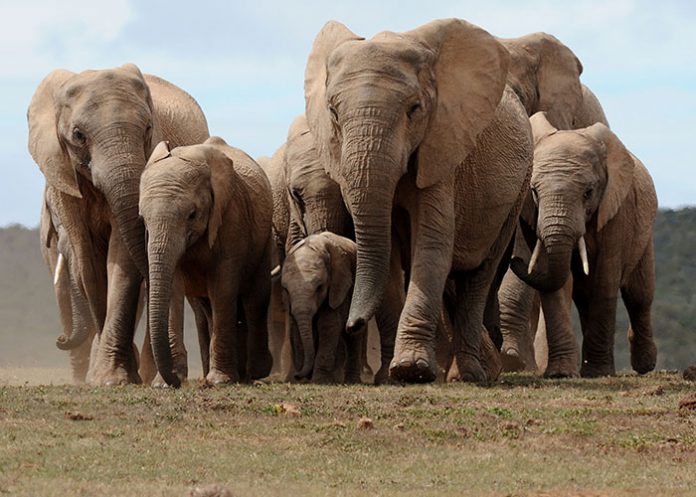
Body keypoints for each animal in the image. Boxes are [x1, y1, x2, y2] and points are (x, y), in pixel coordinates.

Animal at [27, 64, 209, 385]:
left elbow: (121, 257)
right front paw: (107, 376)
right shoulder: (63, 179)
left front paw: (113, 377)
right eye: (78, 135)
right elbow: (88, 263)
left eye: (148, 129)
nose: (60, 339)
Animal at [139, 137, 274, 387]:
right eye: (142, 219)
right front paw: (163, 384)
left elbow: (223, 287)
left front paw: (220, 381)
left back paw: (254, 373)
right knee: (208, 307)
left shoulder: (232, 217)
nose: (177, 381)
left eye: (192, 214)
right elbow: (173, 287)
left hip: (264, 241)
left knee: (256, 299)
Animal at [304, 19, 533, 383]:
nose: (353, 325)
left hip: (518, 188)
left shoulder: (441, 149)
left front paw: (411, 370)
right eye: (333, 114)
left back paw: (469, 375)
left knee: (479, 275)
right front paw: (391, 377)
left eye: (414, 110)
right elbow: (389, 255)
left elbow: (432, 244)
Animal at [509, 112, 657, 377]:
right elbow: (556, 282)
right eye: (534, 191)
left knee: (639, 294)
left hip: (644, 231)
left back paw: (645, 366)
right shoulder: (532, 215)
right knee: (585, 295)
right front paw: (560, 373)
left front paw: (598, 373)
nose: (515, 259)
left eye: (588, 192)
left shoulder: (617, 211)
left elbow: (606, 279)